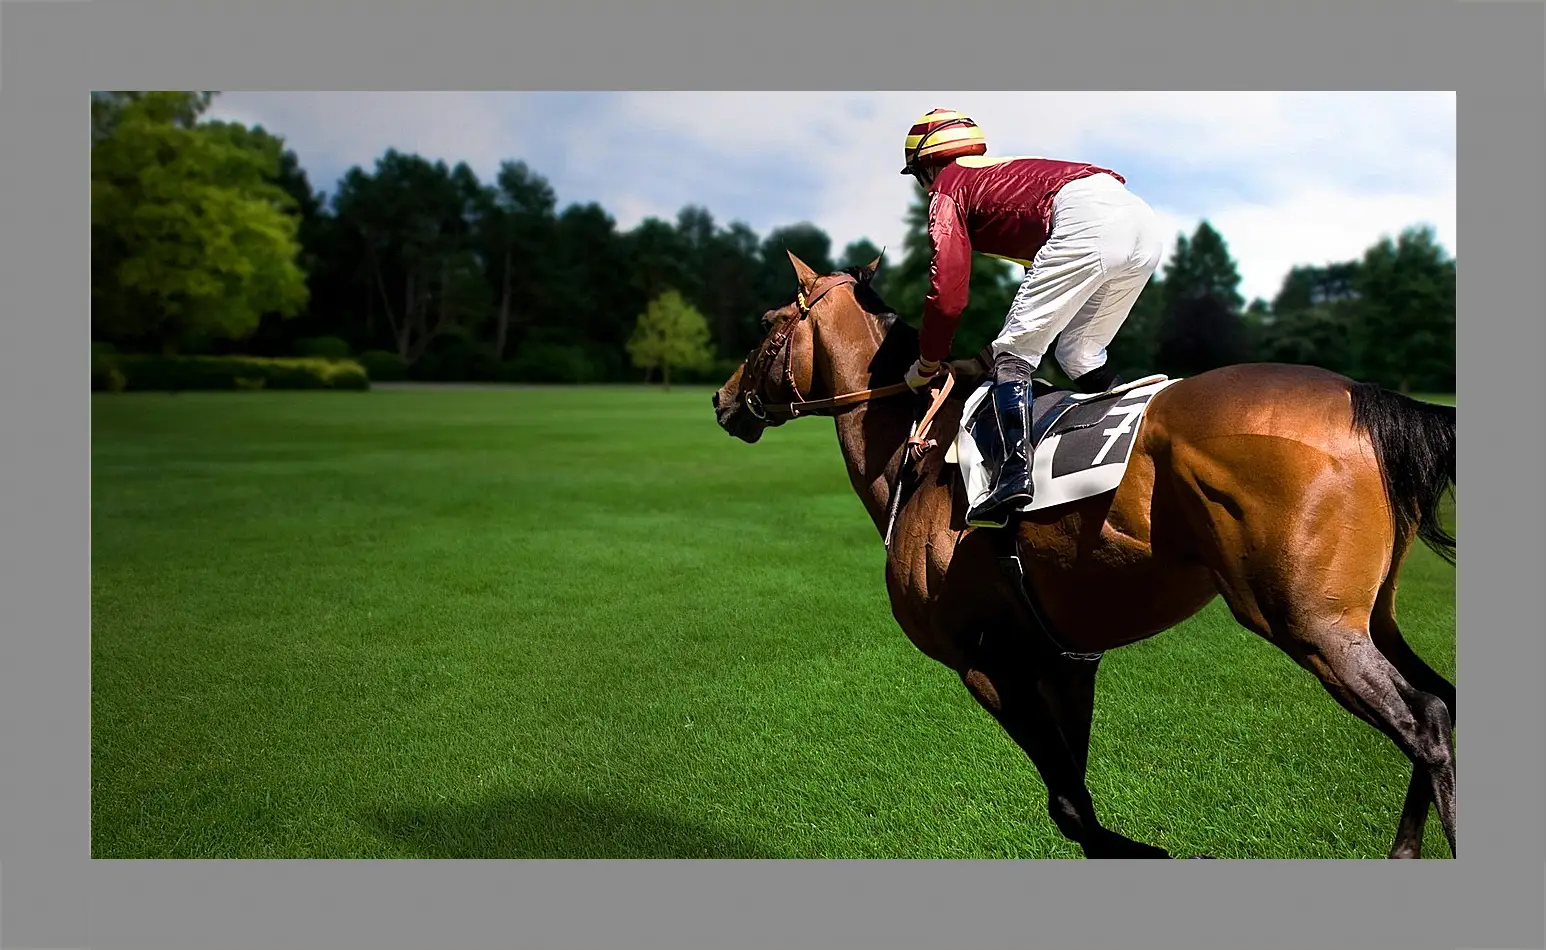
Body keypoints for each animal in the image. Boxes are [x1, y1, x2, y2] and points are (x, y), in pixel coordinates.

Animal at [708, 253, 1454, 866]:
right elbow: (1077, 803)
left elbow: (1070, 808)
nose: (720, 400)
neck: (917, 451)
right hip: (1367, 617)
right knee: (1441, 700)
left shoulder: (985, 659)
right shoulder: (1064, 659)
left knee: (1422, 721)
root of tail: (1366, 397)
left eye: (767, 324)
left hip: (1310, 623)